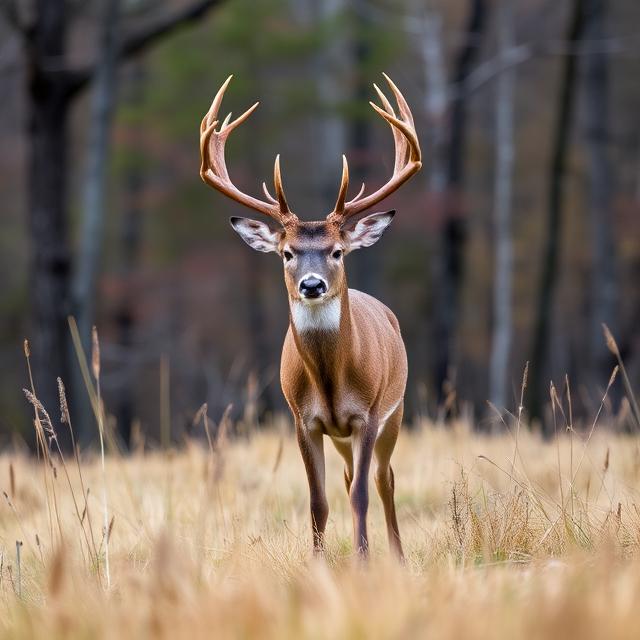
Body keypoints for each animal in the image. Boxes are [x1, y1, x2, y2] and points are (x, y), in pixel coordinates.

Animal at [199, 74, 421, 559]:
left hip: (395, 412)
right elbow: (319, 501)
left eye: (337, 251)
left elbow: (360, 494)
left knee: (383, 480)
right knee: (350, 478)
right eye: (287, 253)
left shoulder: (367, 416)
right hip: (342, 436)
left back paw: (396, 555)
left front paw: (362, 560)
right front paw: (318, 562)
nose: (313, 284)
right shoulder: (304, 420)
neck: (331, 380)